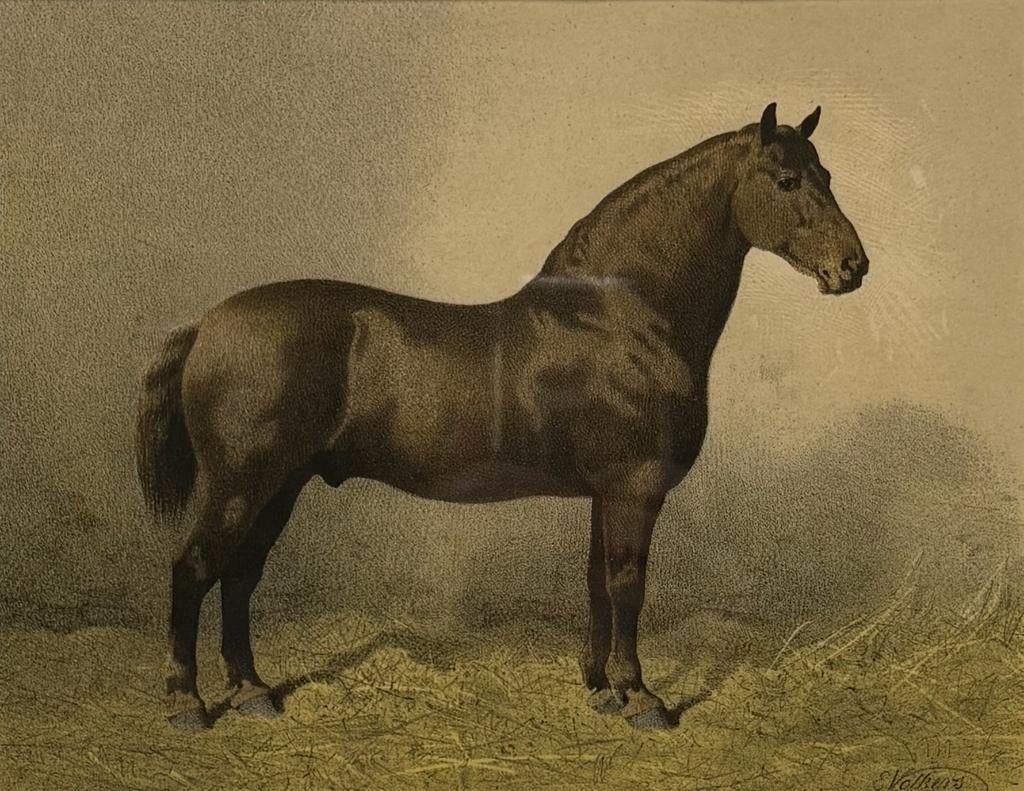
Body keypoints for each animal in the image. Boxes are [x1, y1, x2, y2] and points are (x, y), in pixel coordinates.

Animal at [135, 103, 868, 731]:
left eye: (828, 176)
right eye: (787, 180)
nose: (853, 267)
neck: (623, 318)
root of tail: (206, 326)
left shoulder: (605, 492)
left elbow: (597, 584)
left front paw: (600, 689)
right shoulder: (634, 487)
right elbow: (628, 585)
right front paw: (640, 697)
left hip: (281, 485)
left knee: (240, 576)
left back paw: (253, 691)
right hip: (243, 484)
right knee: (194, 569)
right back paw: (186, 702)